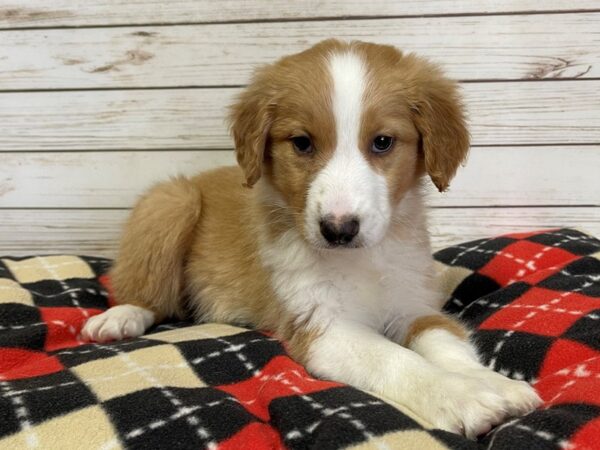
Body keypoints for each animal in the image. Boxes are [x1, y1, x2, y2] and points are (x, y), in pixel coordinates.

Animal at [82, 41, 540, 436]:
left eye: (383, 142)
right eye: (302, 143)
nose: (338, 229)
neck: (361, 260)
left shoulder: (412, 305)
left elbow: (446, 343)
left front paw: (491, 383)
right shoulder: (321, 325)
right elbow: (396, 360)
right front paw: (460, 396)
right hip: (171, 201)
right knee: (145, 294)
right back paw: (120, 317)